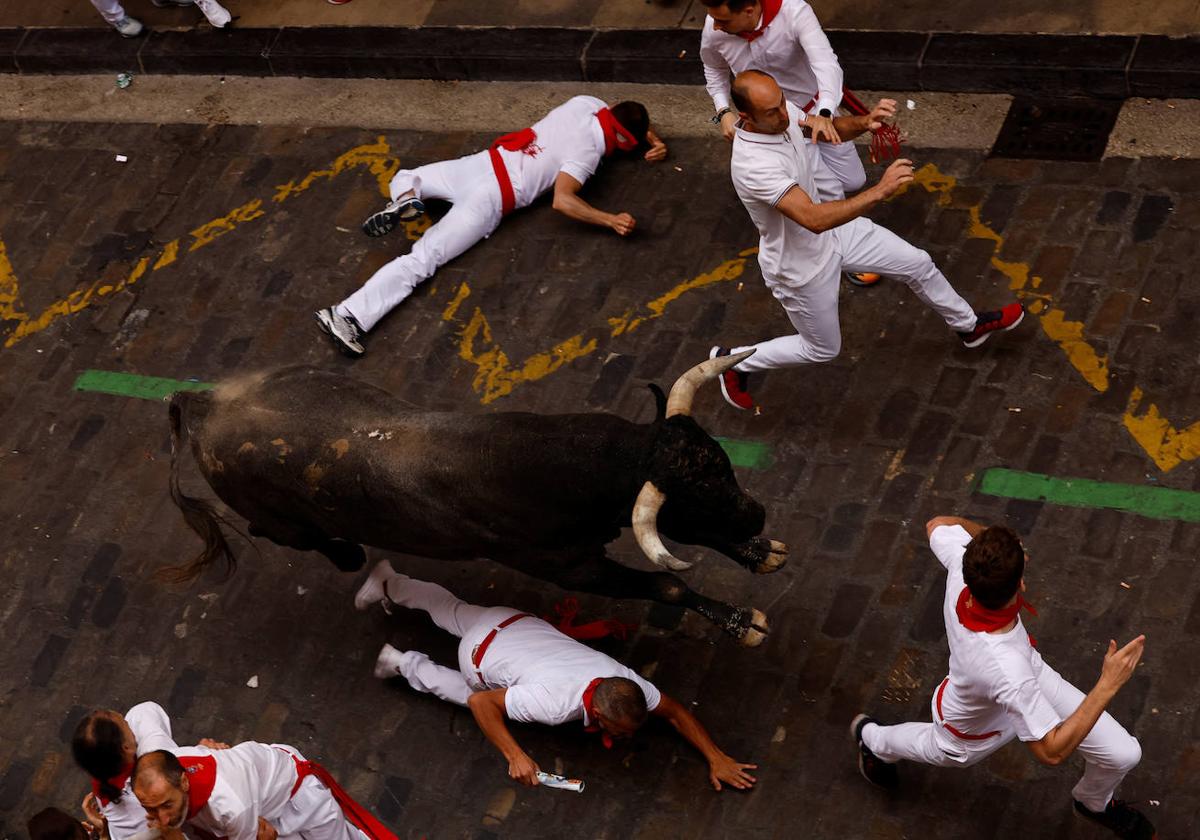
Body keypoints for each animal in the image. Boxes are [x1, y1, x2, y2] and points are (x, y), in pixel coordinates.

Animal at [169, 360, 787, 643]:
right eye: (694, 496)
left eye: (721, 464)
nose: (757, 513)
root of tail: (204, 403)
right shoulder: (570, 567)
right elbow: (668, 583)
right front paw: (742, 622)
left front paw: (761, 552)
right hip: (282, 521)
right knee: (282, 534)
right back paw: (346, 553)